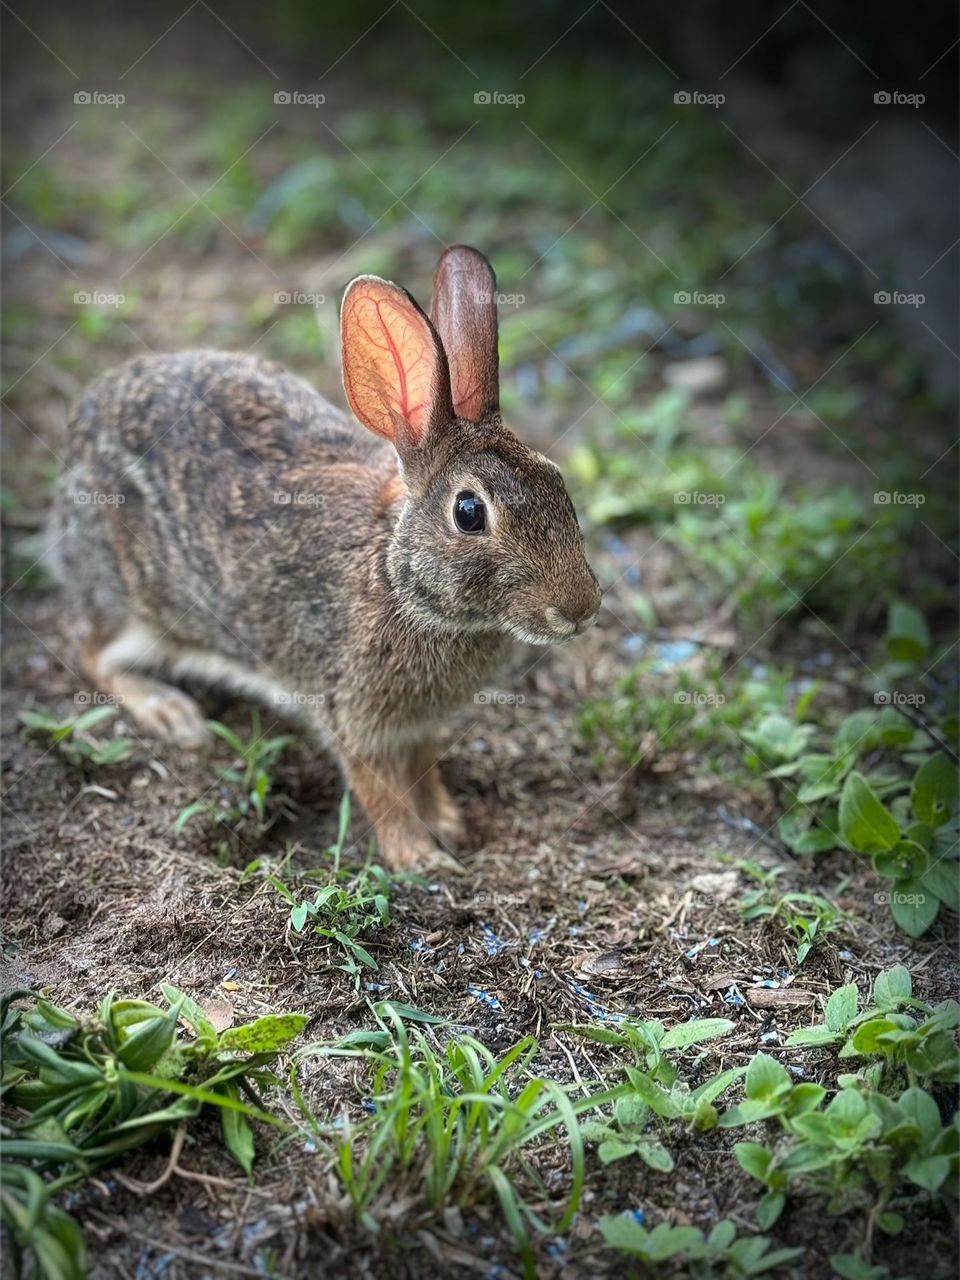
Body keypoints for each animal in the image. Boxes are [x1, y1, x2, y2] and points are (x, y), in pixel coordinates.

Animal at [45, 246, 602, 871]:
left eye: (557, 479)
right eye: (468, 512)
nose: (581, 609)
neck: (396, 578)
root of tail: (82, 426)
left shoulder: (415, 725)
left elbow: (422, 769)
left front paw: (448, 823)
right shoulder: (351, 713)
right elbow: (380, 791)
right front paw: (420, 858)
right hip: (134, 604)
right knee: (92, 652)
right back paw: (171, 711)